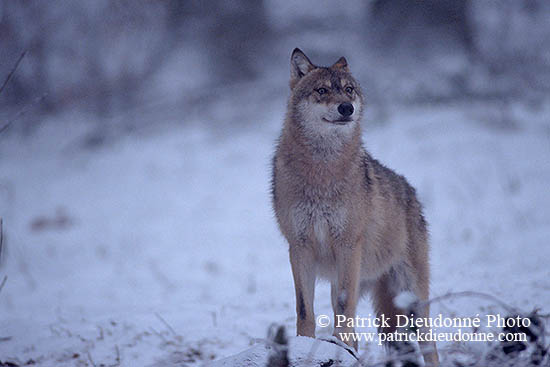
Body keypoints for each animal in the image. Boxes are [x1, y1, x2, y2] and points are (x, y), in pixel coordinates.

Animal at [272, 49, 440, 367]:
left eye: (348, 89)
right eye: (322, 91)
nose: (346, 108)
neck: (322, 171)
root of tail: (411, 192)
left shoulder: (347, 244)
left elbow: (344, 307)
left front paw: (340, 344)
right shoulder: (299, 247)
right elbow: (304, 309)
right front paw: (307, 345)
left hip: (411, 295)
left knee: (430, 345)